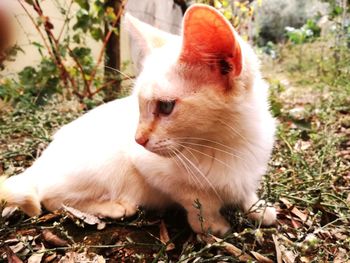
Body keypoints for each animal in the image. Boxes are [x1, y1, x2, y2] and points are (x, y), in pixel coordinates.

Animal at [0, 4, 276, 236]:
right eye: (140, 106)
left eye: (165, 107)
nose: (138, 139)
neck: (228, 144)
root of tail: (40, 161)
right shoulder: (152, 168)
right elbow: (199, 198)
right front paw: (212, 225)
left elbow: (245, 190)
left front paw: (258, 208)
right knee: (51, 197)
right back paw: (113, 207)